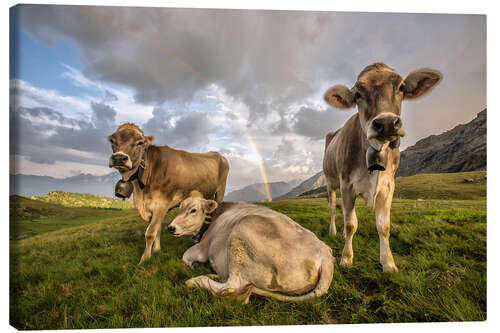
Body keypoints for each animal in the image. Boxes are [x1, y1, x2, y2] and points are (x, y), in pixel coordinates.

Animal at [108, 123, 229, 264]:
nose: (119, 158)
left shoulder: (161, 204)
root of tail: (217, 154)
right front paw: (156, 251)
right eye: (112, 140)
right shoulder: (154, 206)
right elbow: (158, 228)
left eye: (140, 142)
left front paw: (144, 259)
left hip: (220, 191)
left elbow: (150, 232)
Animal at [168, 197, 336, 304]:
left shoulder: (203, 247)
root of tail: (325, 253)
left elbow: (185, 256)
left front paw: (193, 265)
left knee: (233, 286)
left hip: (242, 231)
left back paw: (195, 281)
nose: (171, 227)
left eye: (193, 210)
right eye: (179, 209)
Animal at [320, 61, 442, 270]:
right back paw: (334, 231)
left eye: (401, 87)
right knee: (333, 208)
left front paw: (389, 263)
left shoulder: (388, 185)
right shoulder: (346, 184)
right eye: (357, 94)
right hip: (330, 182)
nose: (386, 123)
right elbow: (351, 223)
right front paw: (346, 258)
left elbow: (383, 226)